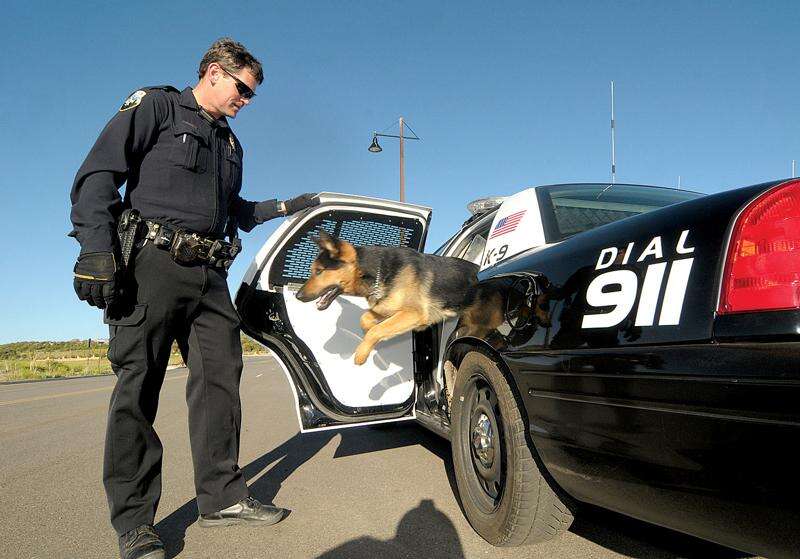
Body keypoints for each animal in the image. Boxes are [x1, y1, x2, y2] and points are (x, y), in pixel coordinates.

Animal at [296, 230, 504, 366]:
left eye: (319, 271)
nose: (297, 296)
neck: (377, 271)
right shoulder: (389, 308)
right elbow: (366, 320)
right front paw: (368, 334)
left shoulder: (414, 314)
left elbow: (376, 330)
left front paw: (361, 354)